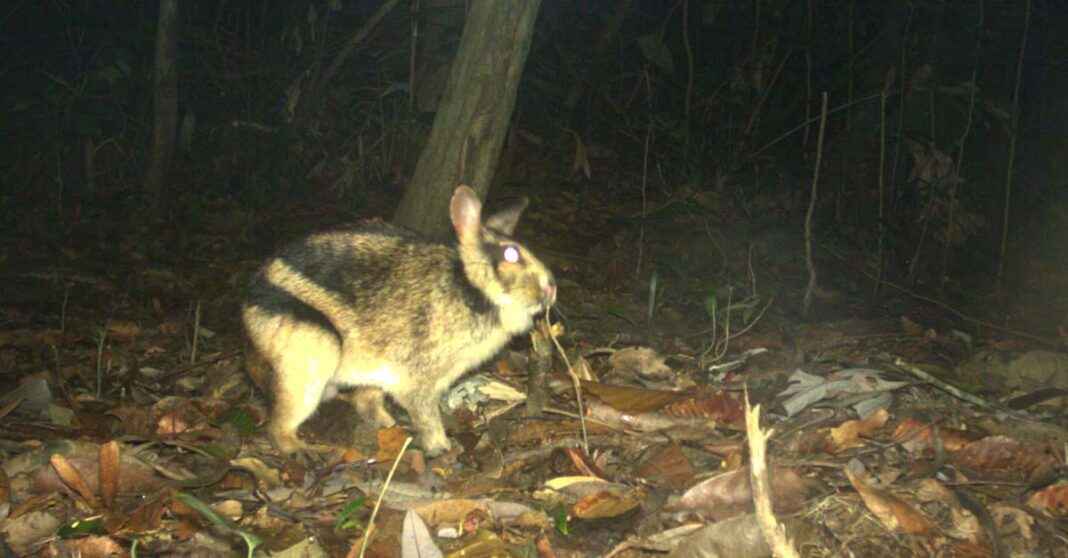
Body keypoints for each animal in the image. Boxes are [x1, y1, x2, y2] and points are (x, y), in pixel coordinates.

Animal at [242, 185, 556, 456]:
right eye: (510, 254)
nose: (551, 288)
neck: (471, 287)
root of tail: (248, 306)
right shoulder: (419, 382)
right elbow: (427, 418)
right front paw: (442, 449)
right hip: (313, 356)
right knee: (278, 425)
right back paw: (301, 451)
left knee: (364, 402)